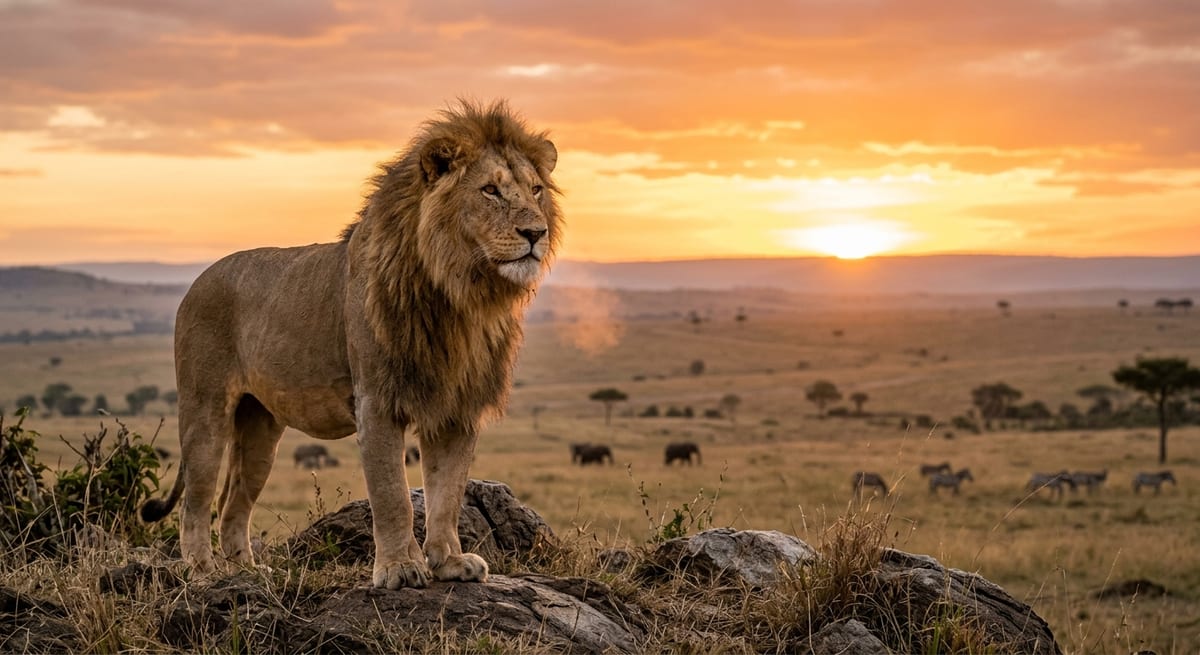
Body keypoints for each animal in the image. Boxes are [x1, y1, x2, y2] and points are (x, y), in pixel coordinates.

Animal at [140, 101, 561, 589]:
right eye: (490, 190)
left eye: (536, 190)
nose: (536, 233)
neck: (461, 293)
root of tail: (198, 280)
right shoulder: (377, 400)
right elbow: (393, 494)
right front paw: (400, 569)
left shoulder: (456, 408)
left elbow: (447, 493)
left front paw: (450, 563)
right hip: (205, 410)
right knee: (196, 500)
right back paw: (204, 572)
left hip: (260, 428)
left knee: (232, 502)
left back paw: (247, 569)